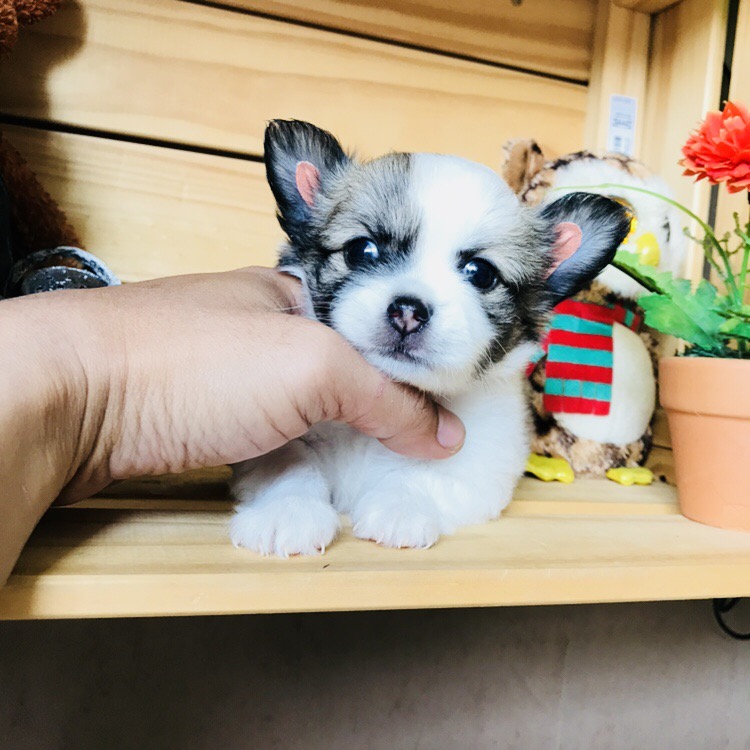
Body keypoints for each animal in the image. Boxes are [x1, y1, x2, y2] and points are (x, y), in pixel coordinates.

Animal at [230, 120, 630, 556]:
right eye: (362, 250)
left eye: (481, 273)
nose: (408, 311)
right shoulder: (271, 446)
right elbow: (291, 466)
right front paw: (287, 512)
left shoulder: (477, 470)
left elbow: (422, 477)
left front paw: (399, 509)